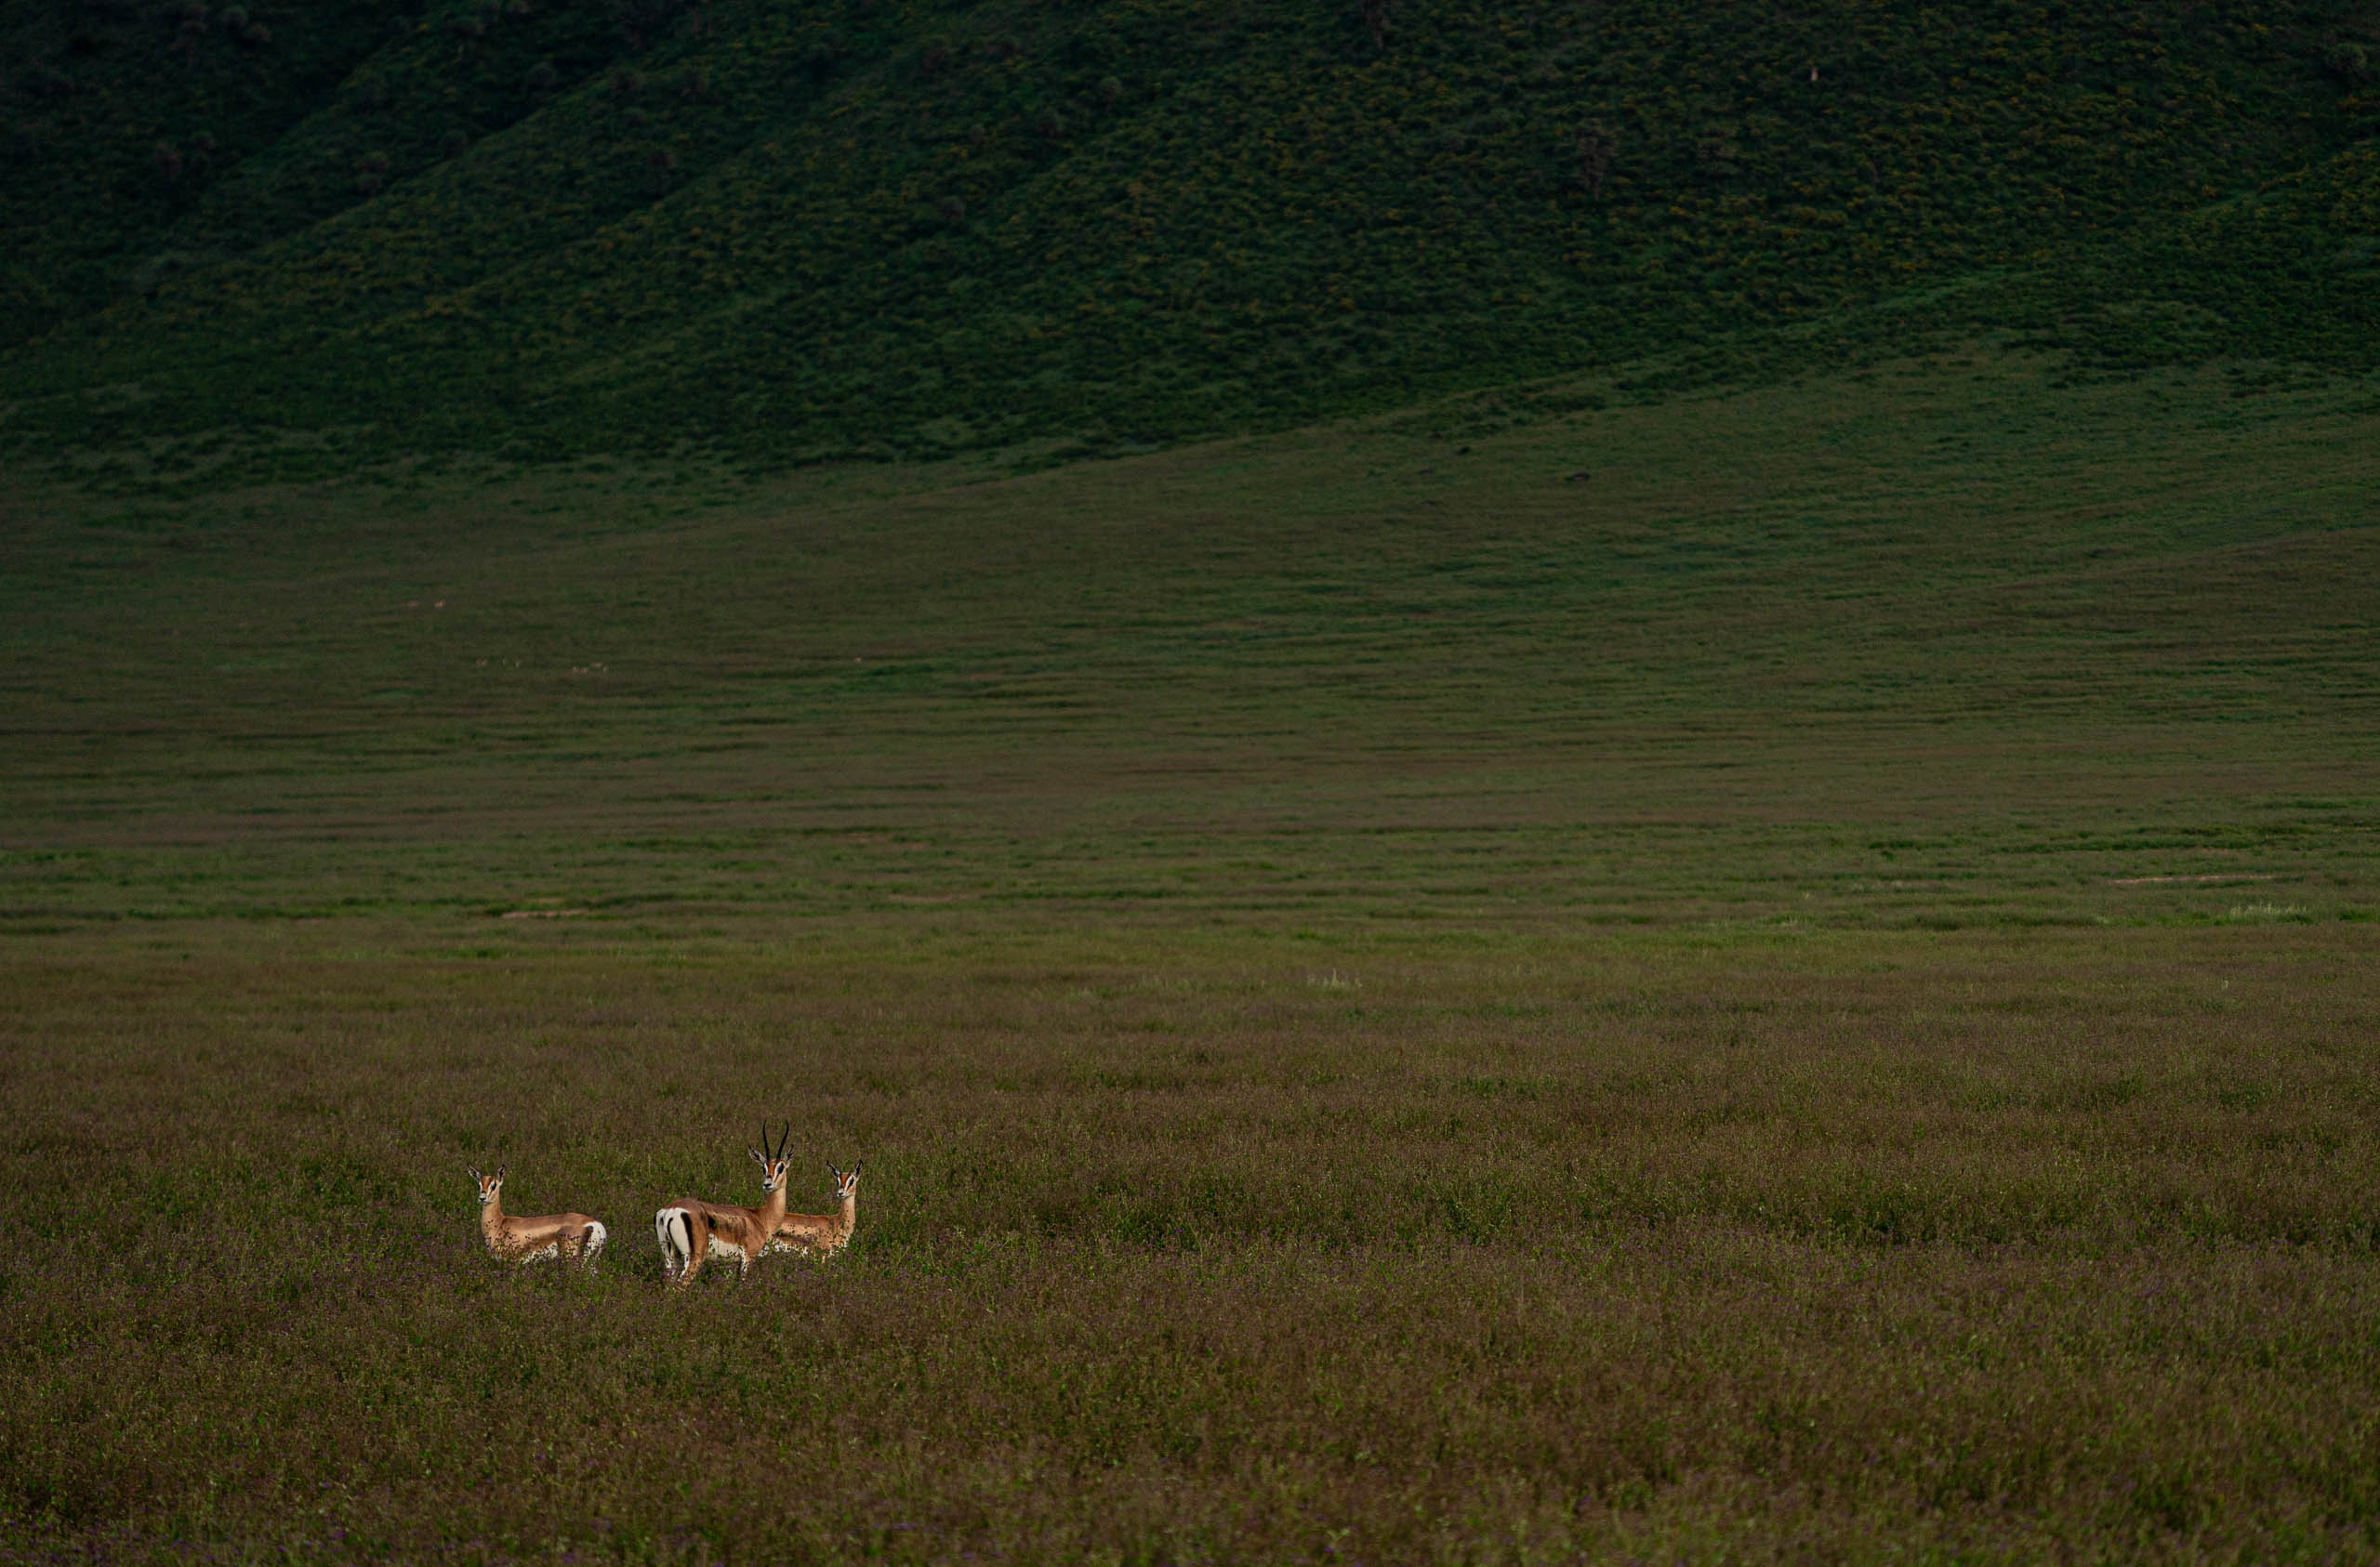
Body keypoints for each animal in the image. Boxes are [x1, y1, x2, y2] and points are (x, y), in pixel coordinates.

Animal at [469, 1167, 608, 1269]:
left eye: (494, 1185)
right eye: (479, 1185)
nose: (482, 1198)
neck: (499, 1224)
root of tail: (595, 1224)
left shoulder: (512, 1261)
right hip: (590, 1260)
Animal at [654, 1121, 792, 1286]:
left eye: (781, 1167)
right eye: (763, 1168)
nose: (767, 1184)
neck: (760, 1217)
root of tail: (670, 1210)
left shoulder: (731, 1263)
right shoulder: (748, 1258)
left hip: (670, 1257)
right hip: (694, 1257)